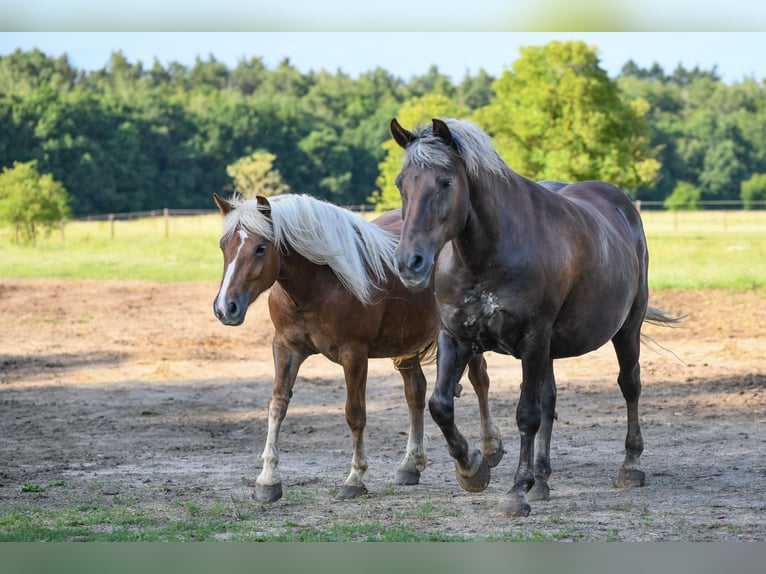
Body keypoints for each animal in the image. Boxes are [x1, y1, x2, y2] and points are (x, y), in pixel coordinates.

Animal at [213, 194, 508, 504]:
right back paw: (410, 464)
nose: (226, 308)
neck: (320, 282)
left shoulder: (353, 354)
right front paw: (267, 480)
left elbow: (355, 414)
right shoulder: (285, 348)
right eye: (223, 246)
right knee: (415, 392)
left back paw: (490, 447)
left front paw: (355, 478)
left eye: (260, 248)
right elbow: (277, 405)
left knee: (479, 379)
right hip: (405, 343)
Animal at [392, 117, 680, 516]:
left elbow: (526, 414)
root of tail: (623, 206)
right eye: (401, 183)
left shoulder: (532, 340)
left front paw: (516, 491)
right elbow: (441, 405)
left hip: (626, 329)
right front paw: (472, 469)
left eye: (446, 182)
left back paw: (630, 466)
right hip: (552, 349)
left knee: (629, 386)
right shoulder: (457, 338)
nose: (410, 263)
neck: (488, 256)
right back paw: (542, 479)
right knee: (550, 400)